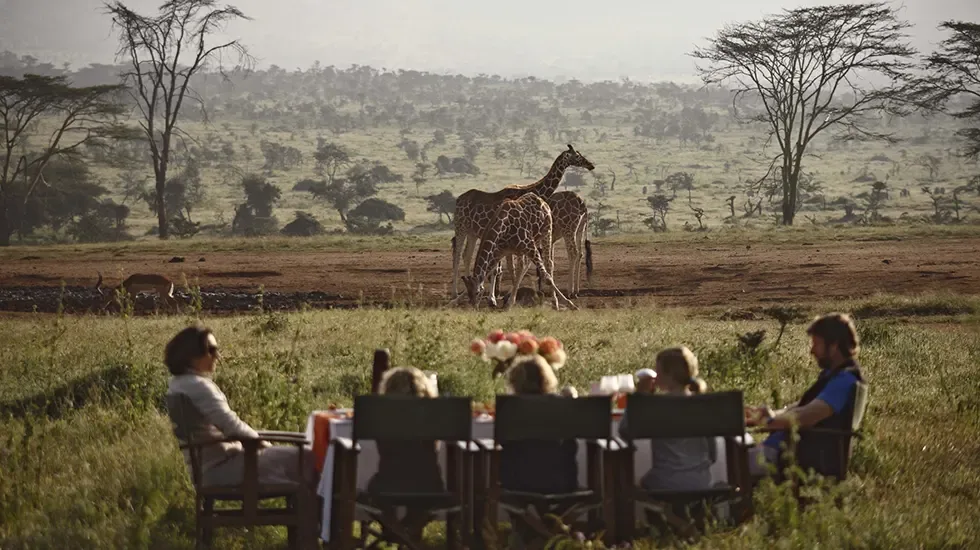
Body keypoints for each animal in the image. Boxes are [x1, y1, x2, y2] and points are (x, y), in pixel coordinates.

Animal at [451, 144, 594, 296]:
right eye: (577, 155)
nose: (590, 165)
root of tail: (458, 199)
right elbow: (508, 266)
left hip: (472, 233)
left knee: (466, 256)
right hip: (460, 227)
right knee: (457, 255)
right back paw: (455, 292)